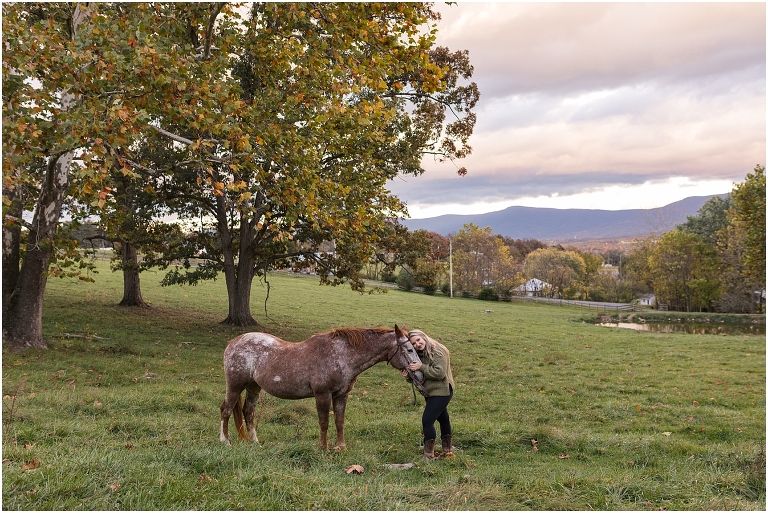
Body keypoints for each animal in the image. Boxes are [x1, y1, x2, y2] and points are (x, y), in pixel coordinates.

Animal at [219, 324, 420, 450]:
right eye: (410, 350)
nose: (418, 374)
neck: (340, 355)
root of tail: (232, 342)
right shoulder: (322, 395)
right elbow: (324, 422)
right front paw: (323, 448)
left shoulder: (341, 396)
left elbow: (339, 421)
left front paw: (341, 447)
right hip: (235, 385)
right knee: (226, 410)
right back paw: (225, 442)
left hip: (254, 386)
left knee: (248, 412)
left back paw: (255, 442)